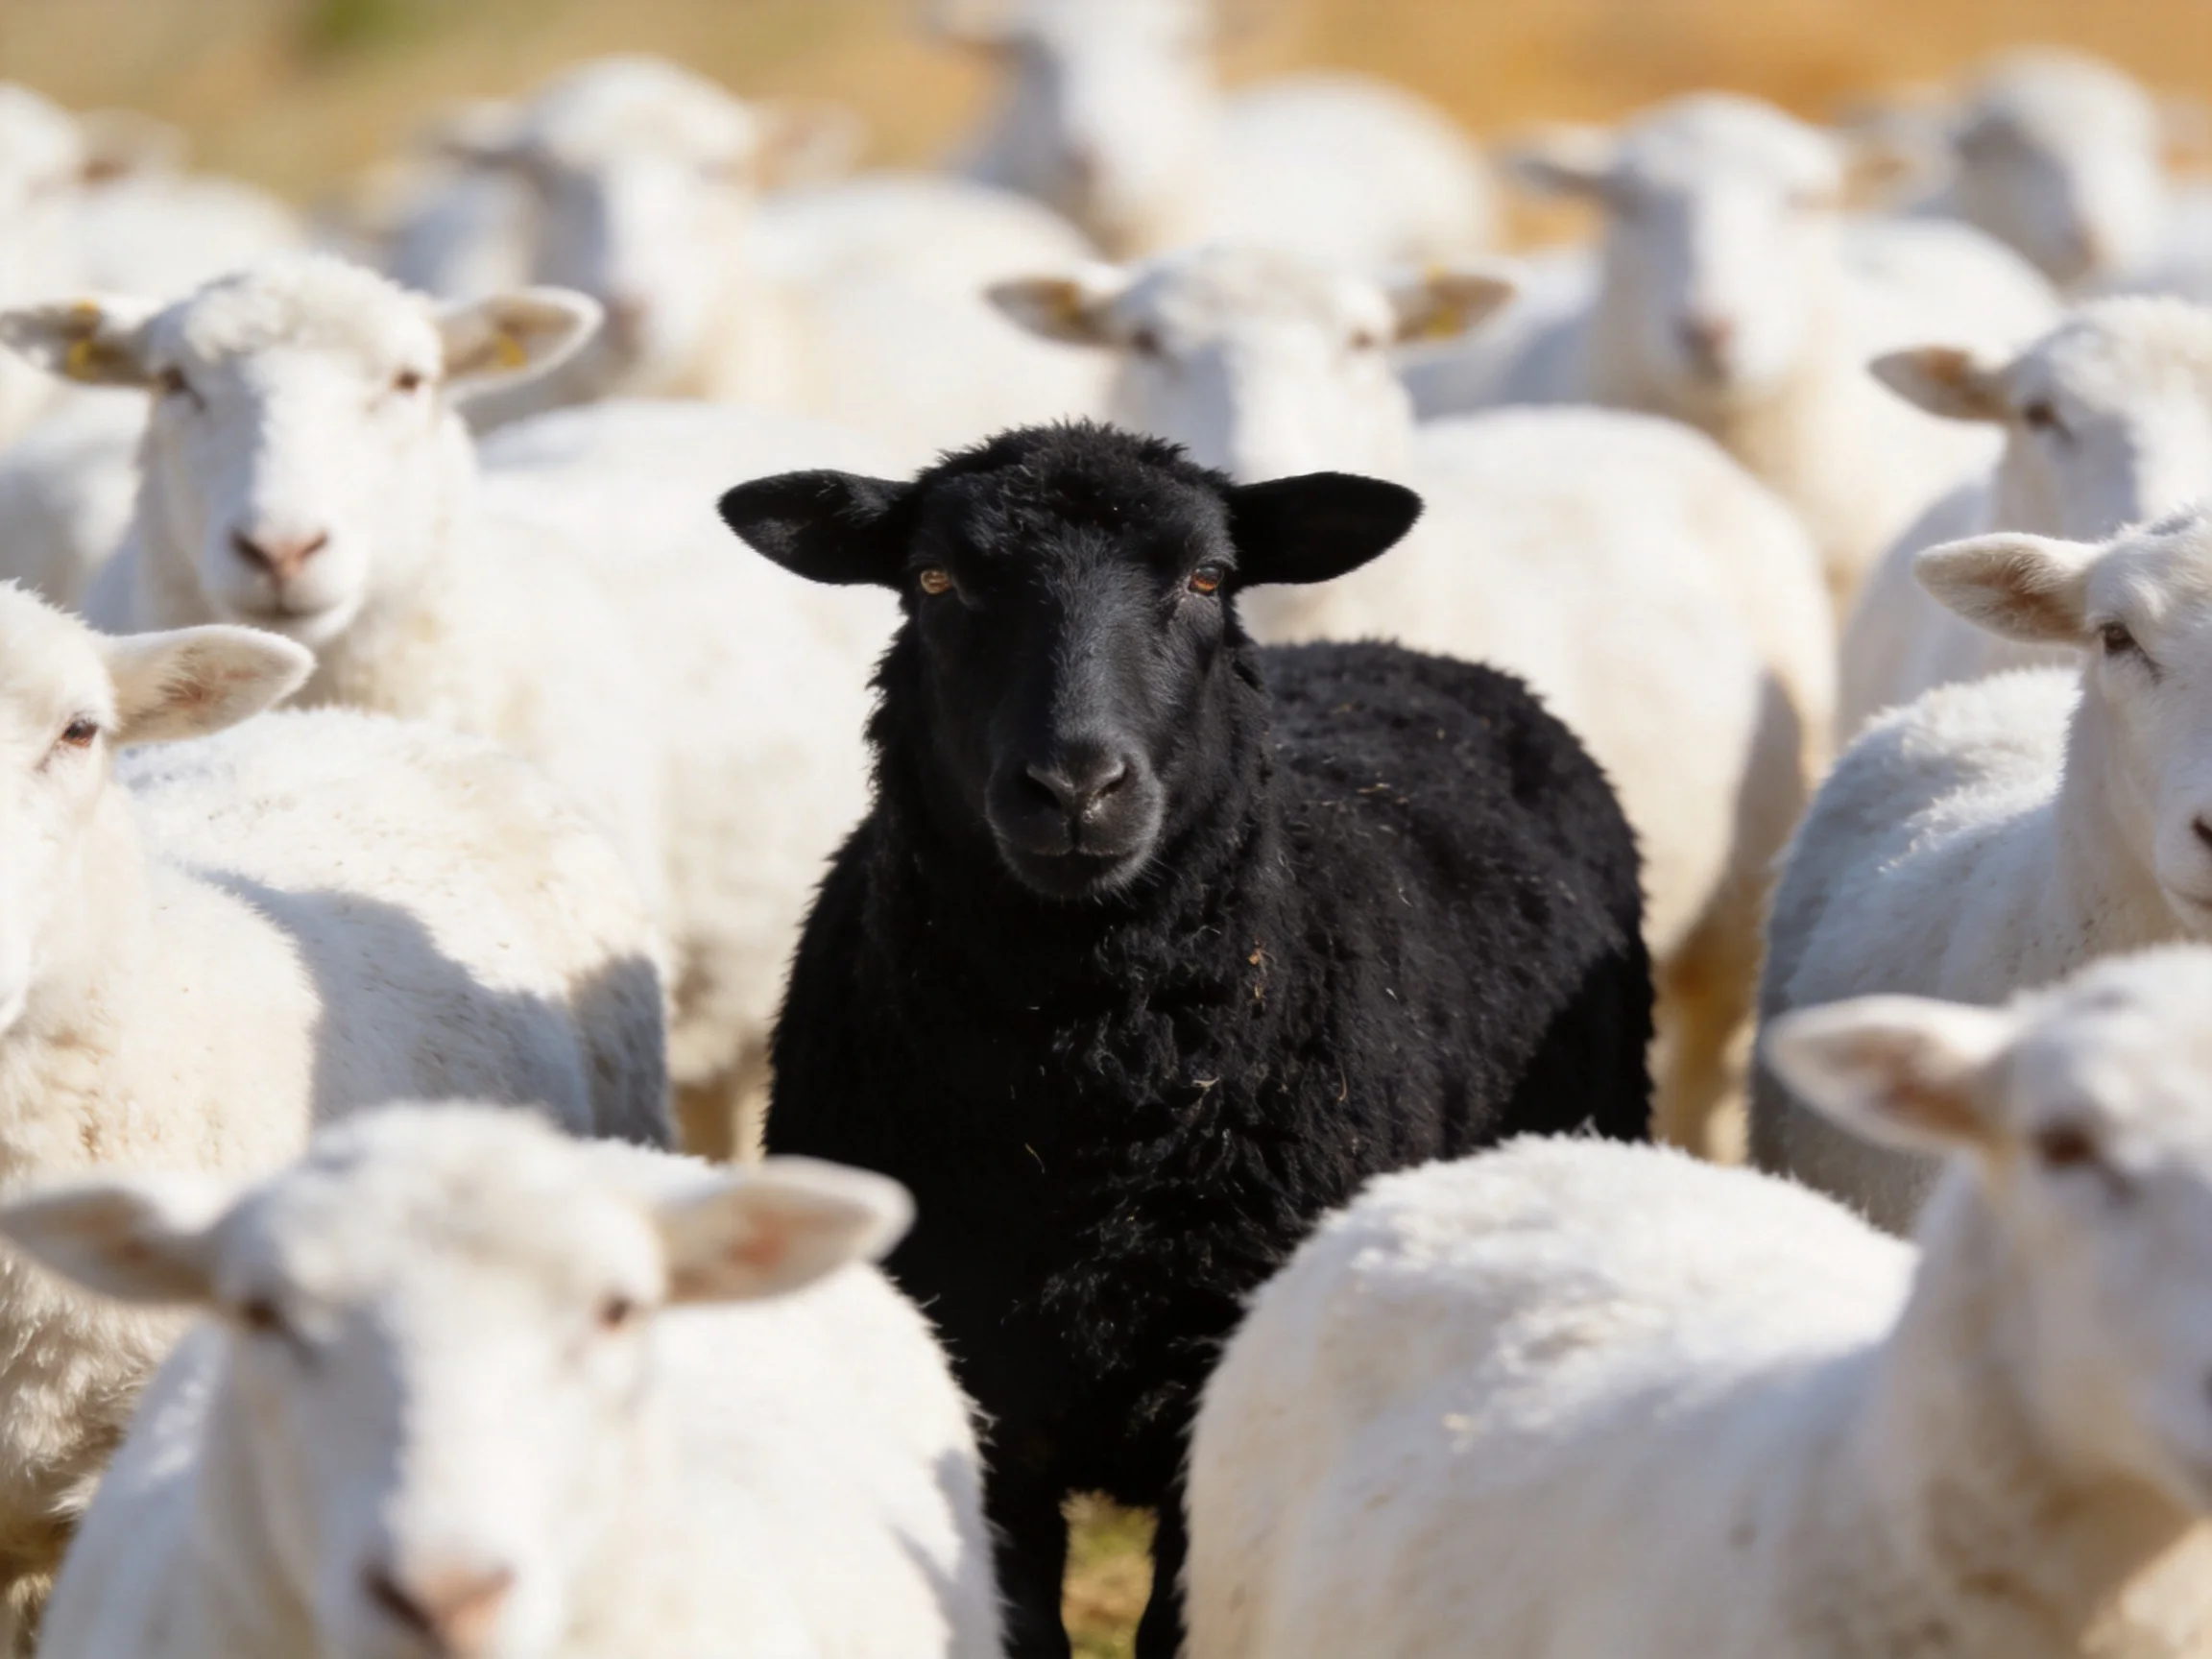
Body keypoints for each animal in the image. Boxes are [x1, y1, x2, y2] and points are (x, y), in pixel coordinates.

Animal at [718, 421, 1653, 1657]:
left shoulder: (1221, 1413)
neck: (1084, 1116)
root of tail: (1402, 649)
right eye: (934, 580)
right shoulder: (978, 1401)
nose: (1076, 785)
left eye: (1207, 579)